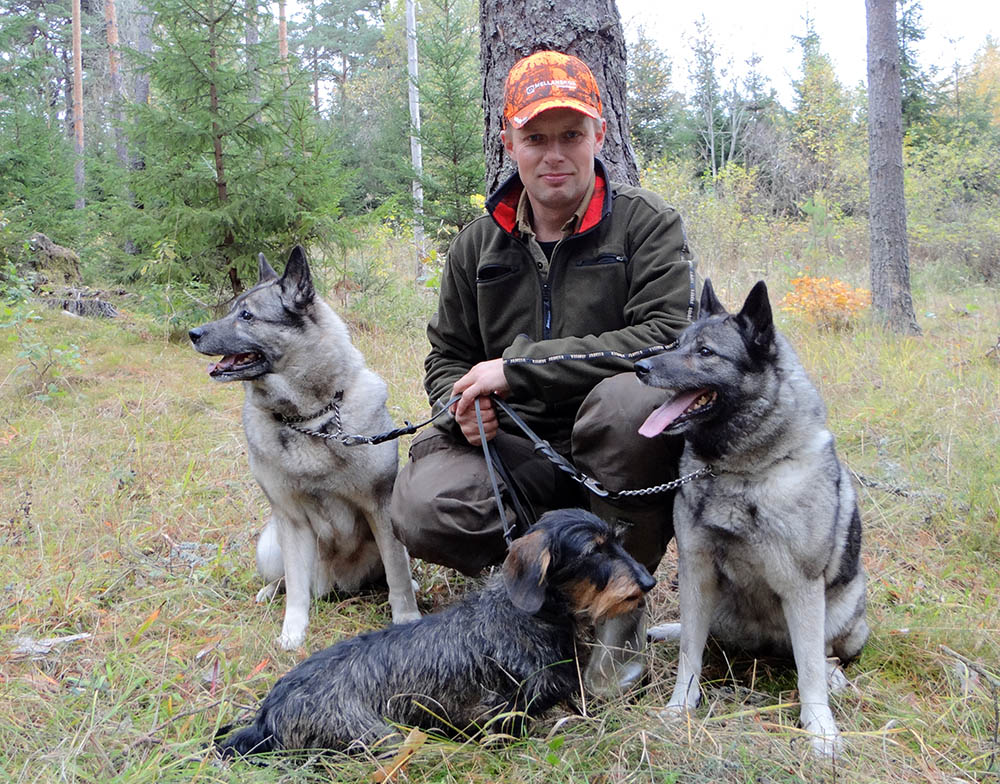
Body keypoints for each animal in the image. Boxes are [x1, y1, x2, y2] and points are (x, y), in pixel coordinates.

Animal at [189, 247, 420, 648]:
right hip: (271, 544)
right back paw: (269, 593)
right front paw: (292, 632)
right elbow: (297, 587)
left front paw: (406, 617)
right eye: (232, 309)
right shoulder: (292, 520)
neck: (311, 420)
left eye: (247, 316)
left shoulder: (381, 509)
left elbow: (397, 574)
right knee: (285, 579)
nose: (193, 333)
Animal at [640, 278, 868, 756]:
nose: (640, 366)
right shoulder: (696, 570)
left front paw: (820, 728)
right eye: (678, 344)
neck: (737, 472)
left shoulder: (802, 587)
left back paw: (834, 673)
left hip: (845, 607)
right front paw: (679, 707)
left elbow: (810, 670)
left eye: (706, 351)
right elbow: (690, 652)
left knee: (823, 654)